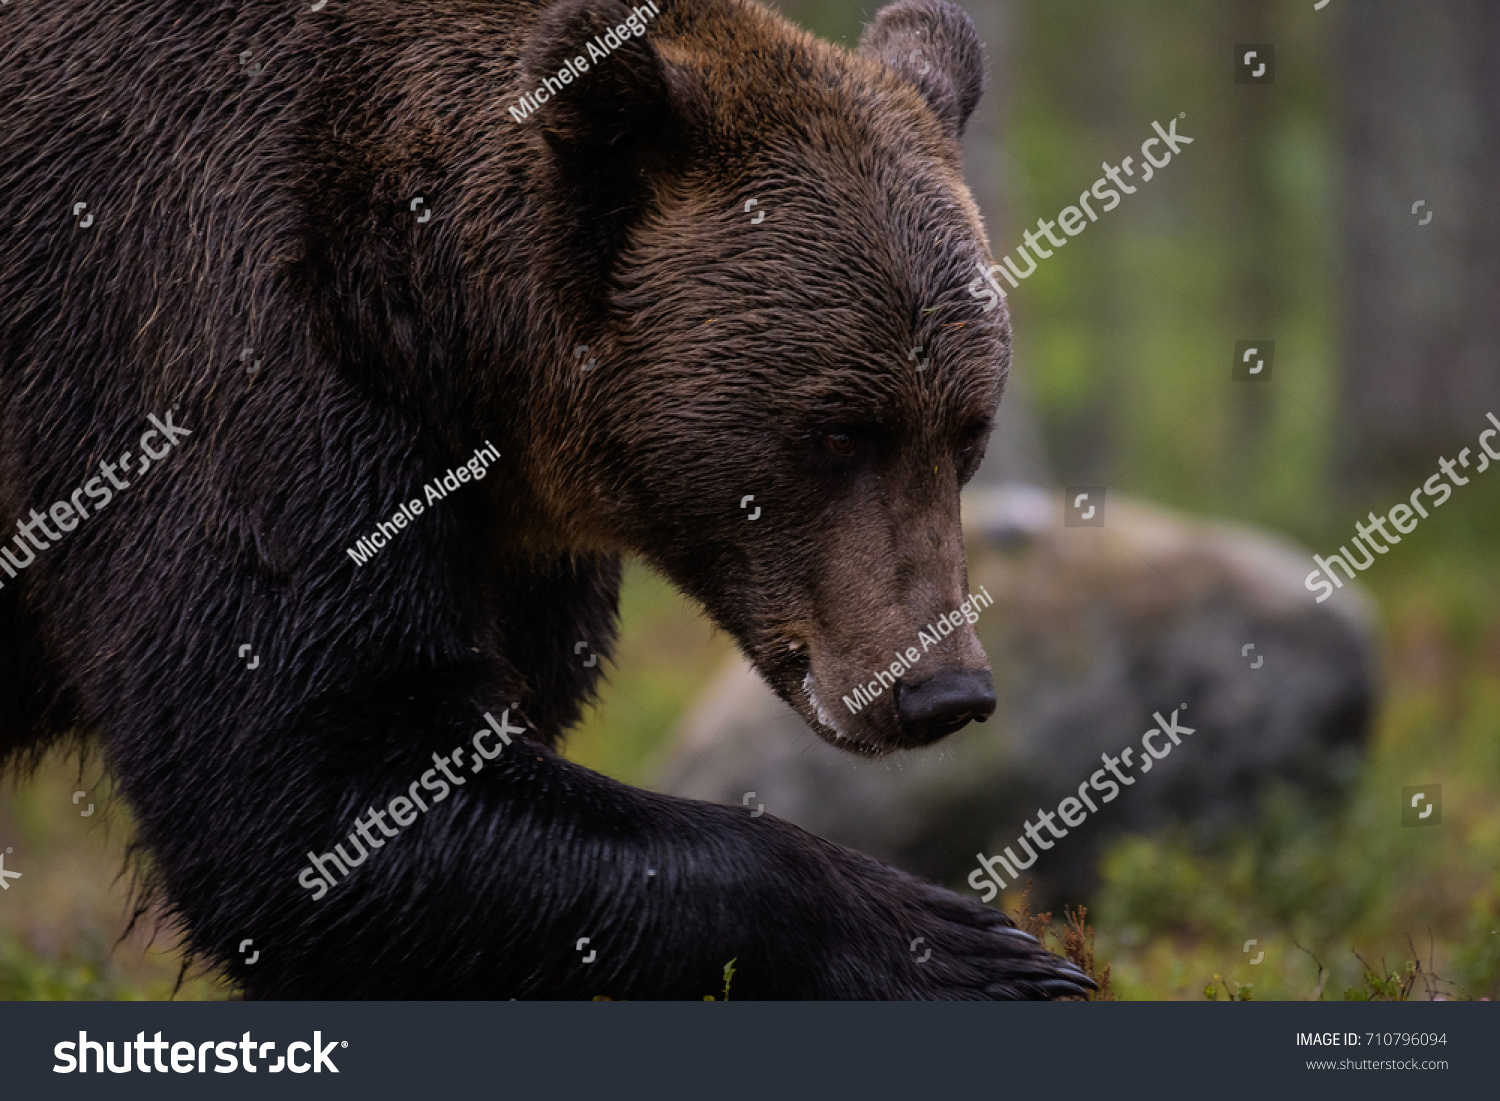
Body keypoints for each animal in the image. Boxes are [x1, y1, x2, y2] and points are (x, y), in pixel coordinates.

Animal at [0, 0, 1098, 1002]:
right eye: (835, 431)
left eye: (968, 433)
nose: (942, 689)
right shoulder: (213, 342)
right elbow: (315, 782)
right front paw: (976, 948)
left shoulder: (512, 546)